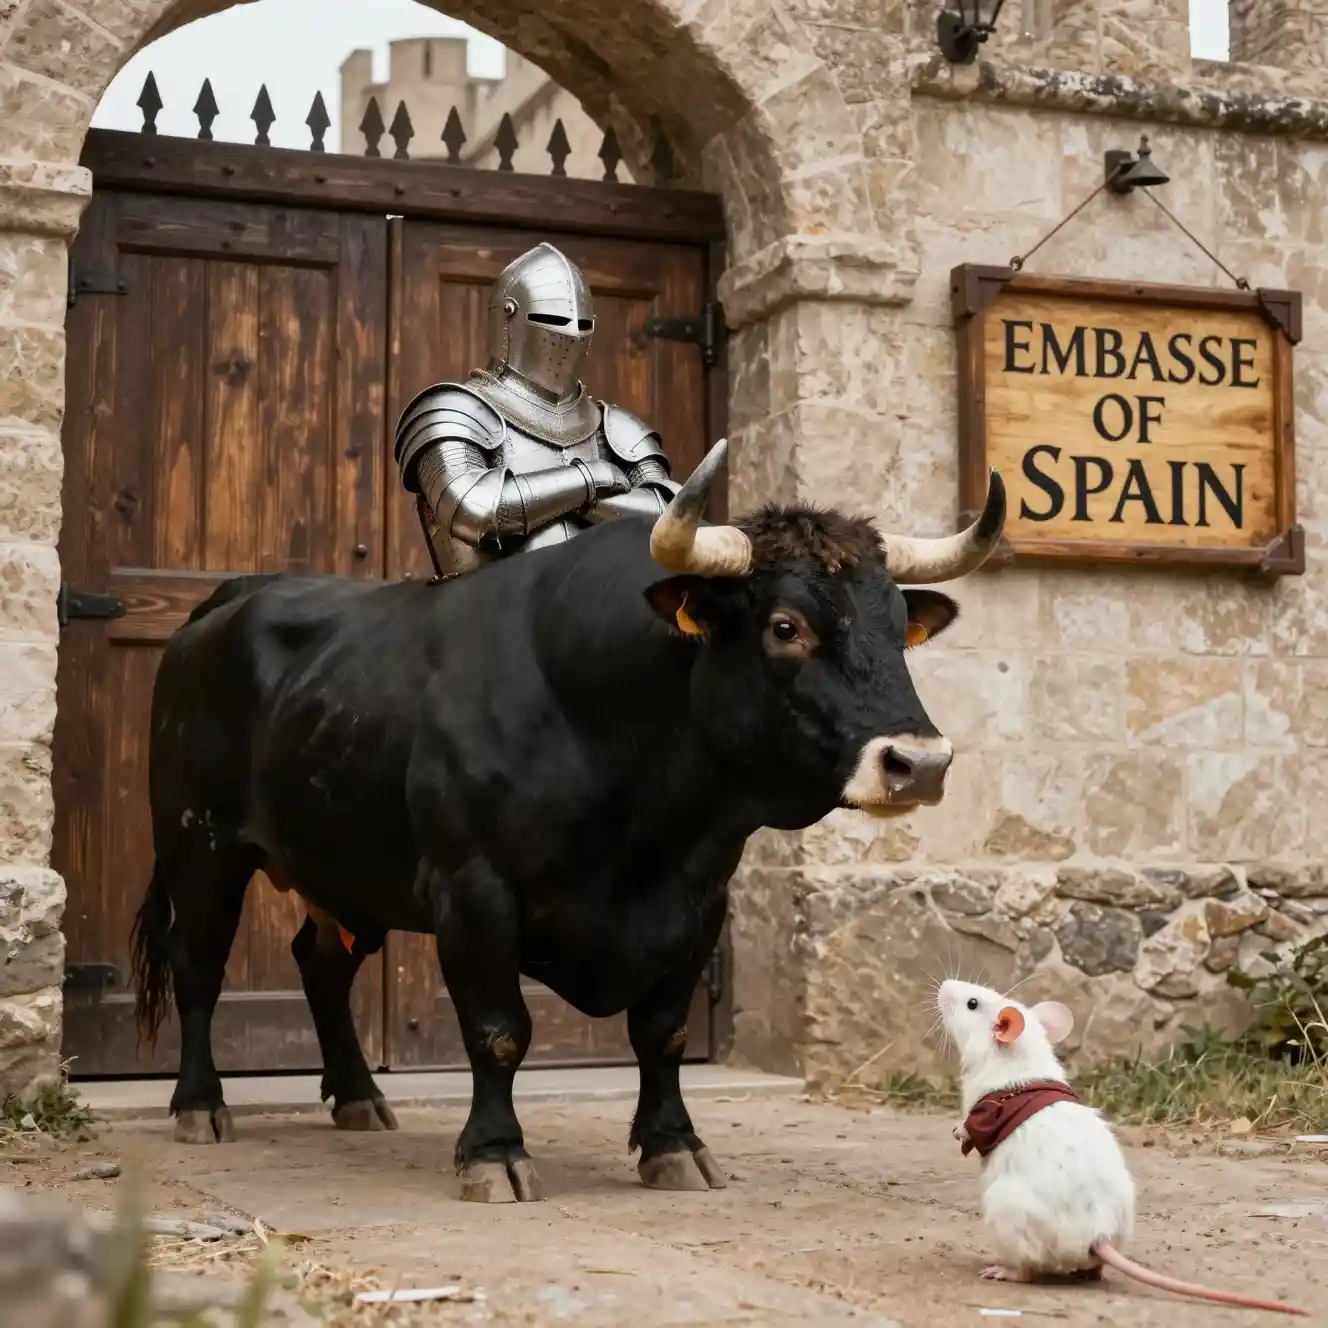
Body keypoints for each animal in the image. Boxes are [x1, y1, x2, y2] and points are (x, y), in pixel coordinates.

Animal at [131, 439, 1006, 1203]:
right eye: (785, 627)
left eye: (897, 629)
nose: (921, 763)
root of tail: (229, 601)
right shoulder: (473, 892)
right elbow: (498, 1030)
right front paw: (494, 1155)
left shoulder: (701, 903)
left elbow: (663, 1032)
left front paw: (674, 1145)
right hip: (198, 845)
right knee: (198, 969)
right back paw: (199, 1105)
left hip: (341, 870)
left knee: (321, 966)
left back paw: (356, 1097)